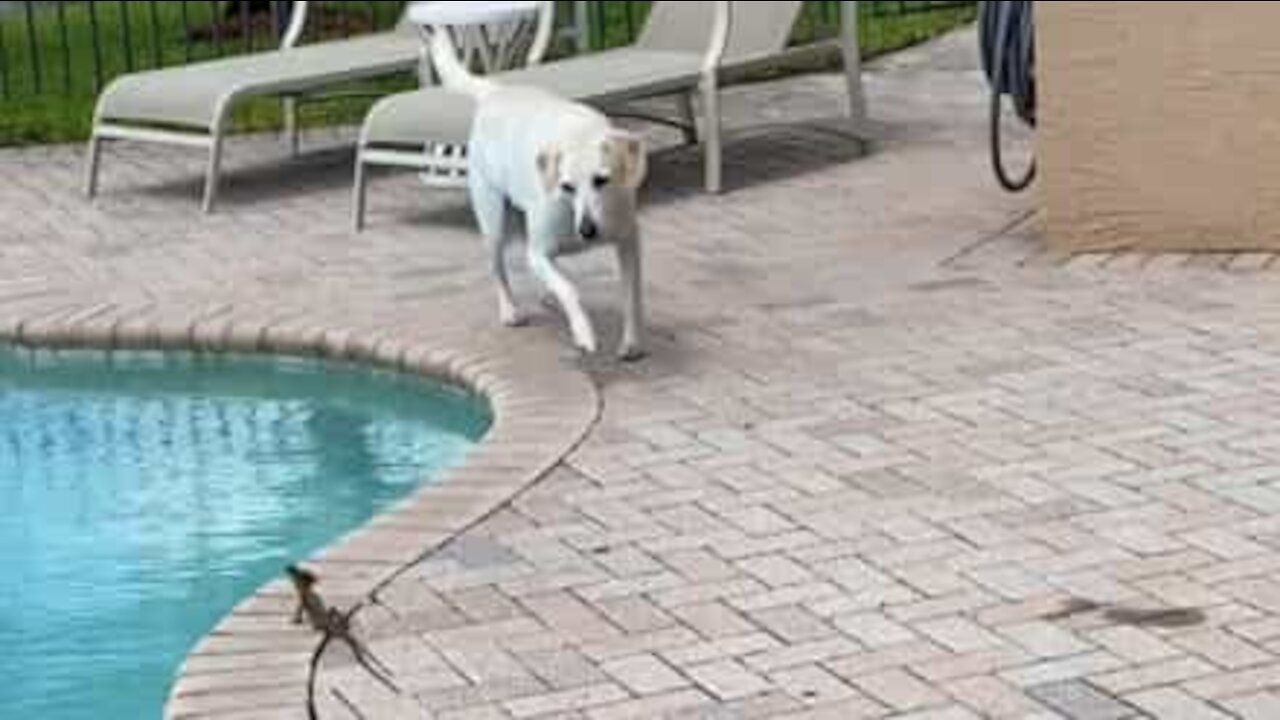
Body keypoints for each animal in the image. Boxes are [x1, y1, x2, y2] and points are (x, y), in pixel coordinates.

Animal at [432, 28, 650, 358]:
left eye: (601, 180)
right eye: (567, 187)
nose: (587, 231)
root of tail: (496, 93)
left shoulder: (628, 241)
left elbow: (632, 294)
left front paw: (631, 343)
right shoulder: (535, 254)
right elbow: (570, 289)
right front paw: (583, 333)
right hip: (493, 223)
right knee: (498, 268)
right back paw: (510, 310)